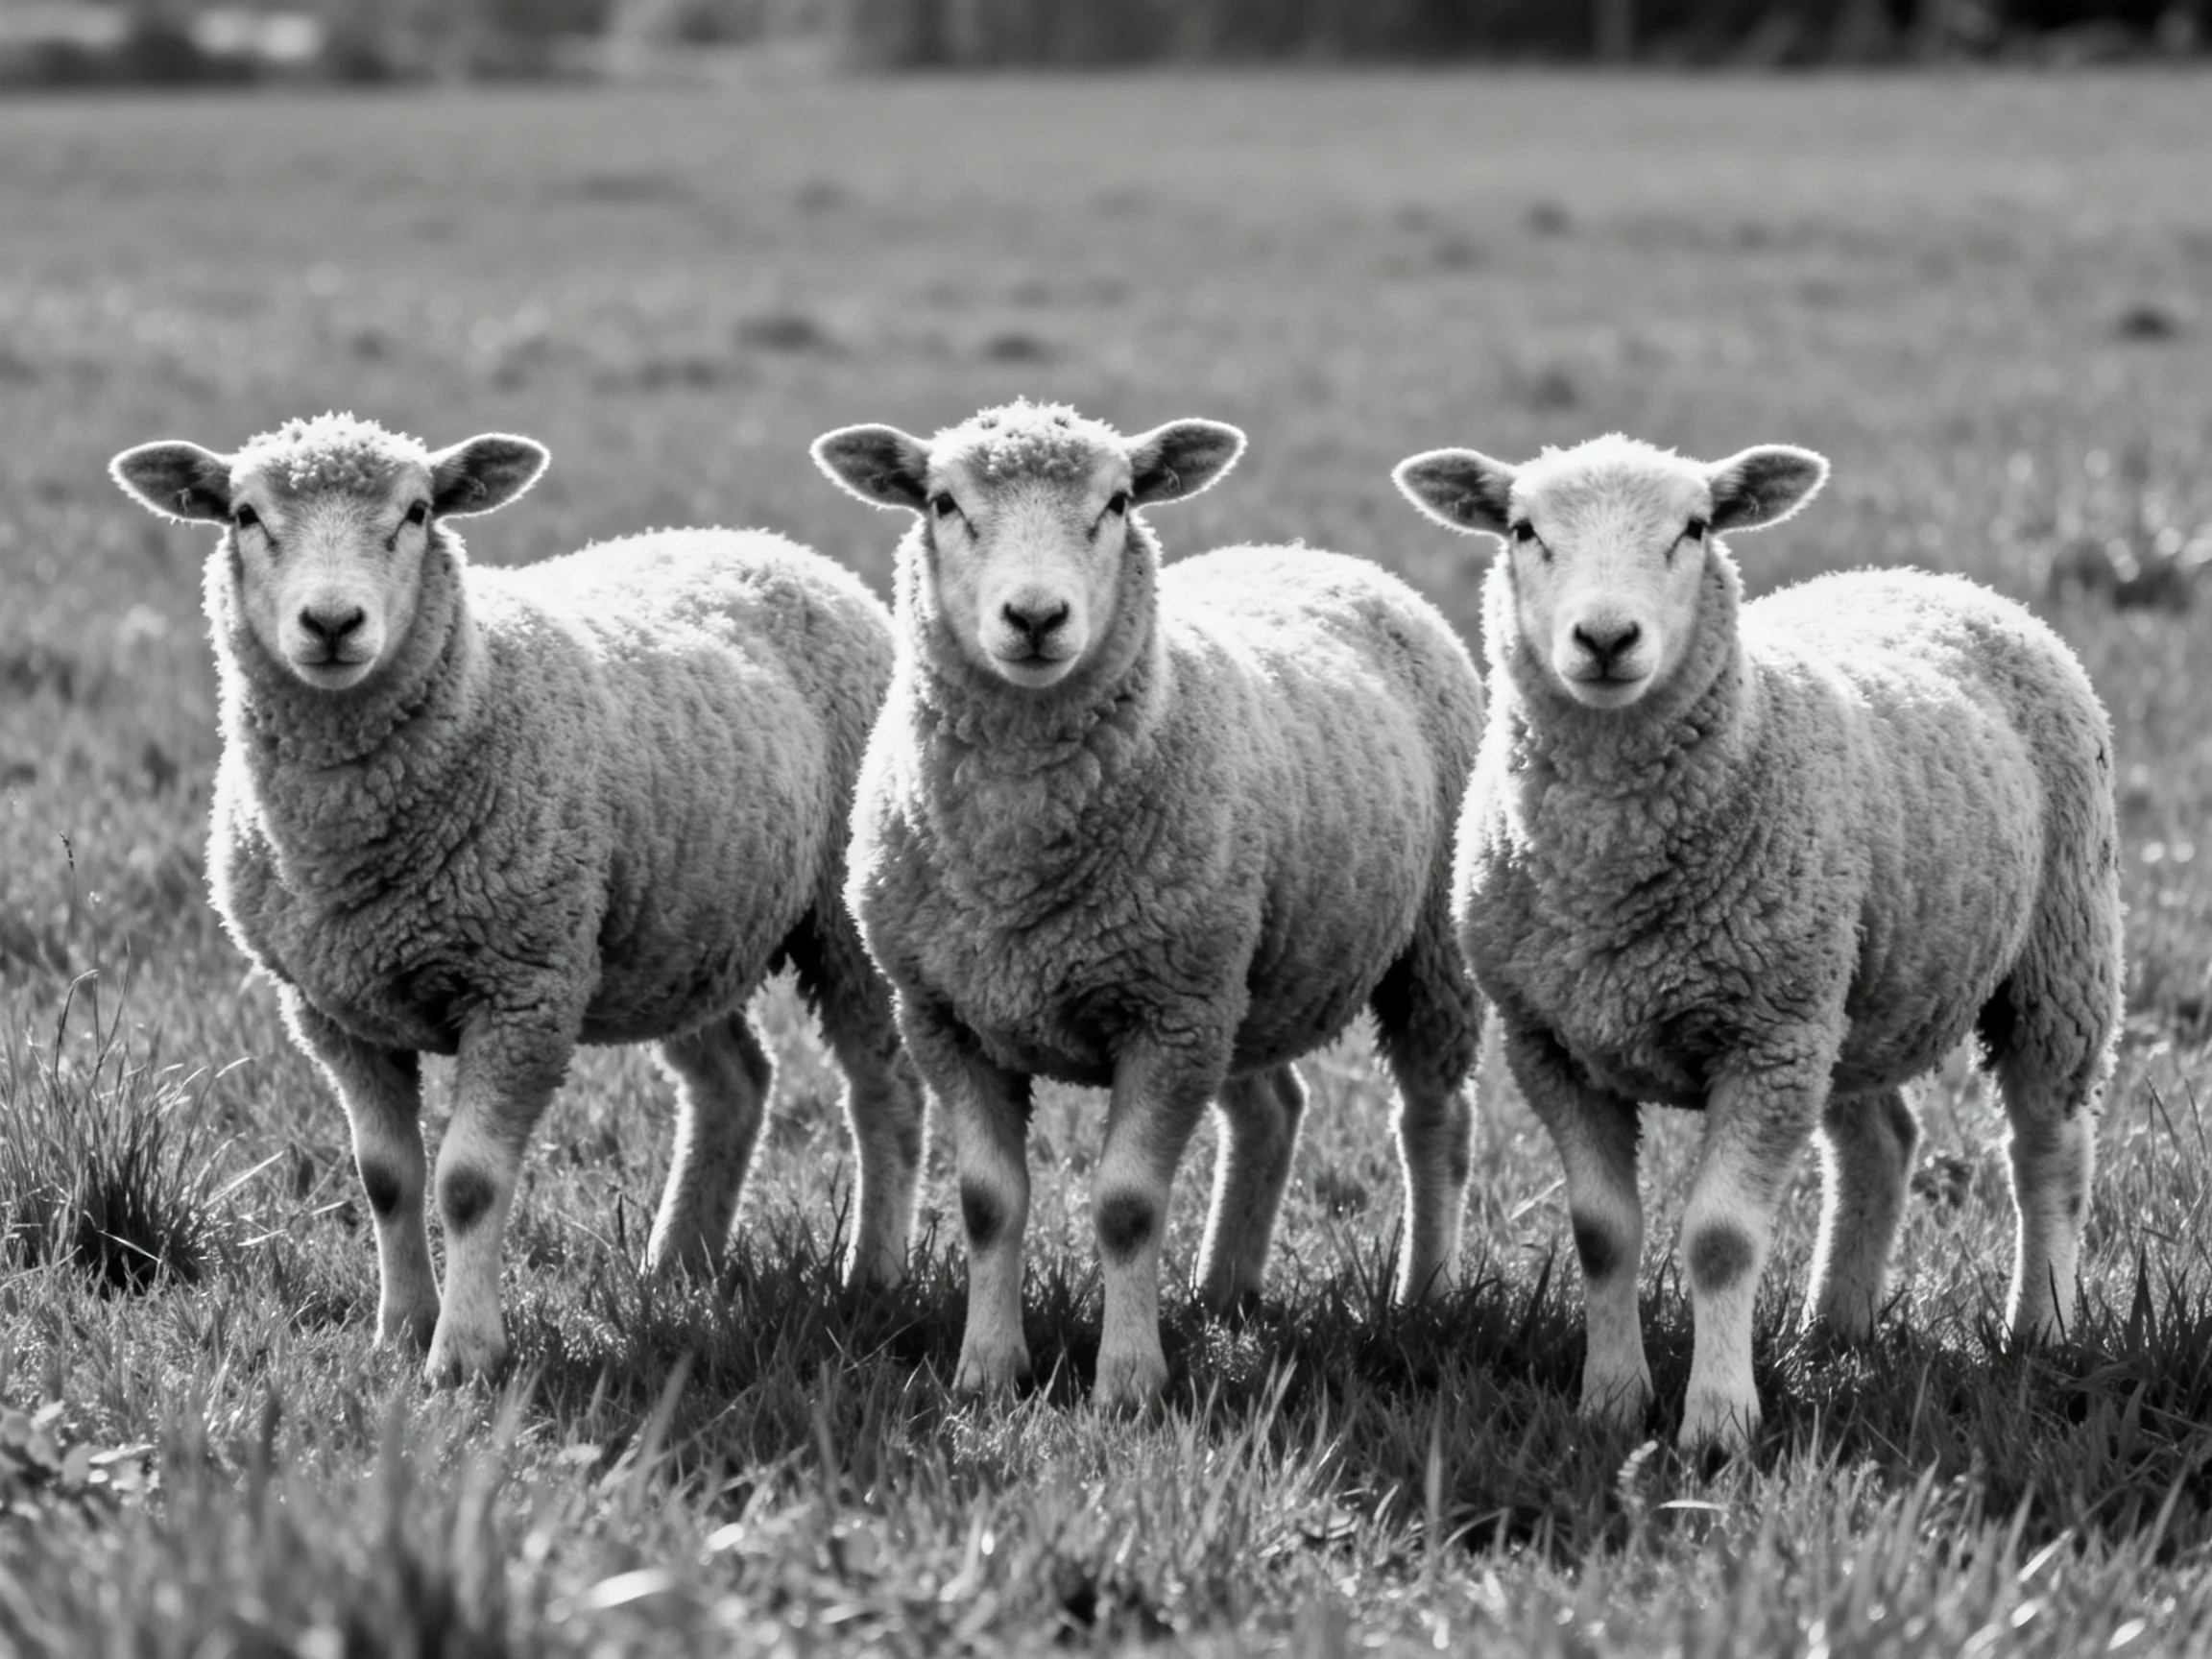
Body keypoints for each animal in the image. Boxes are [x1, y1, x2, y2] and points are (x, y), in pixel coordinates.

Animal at [108, 413, 924, 1383]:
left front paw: (463, 1358)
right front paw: (399, 1331)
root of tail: (771, 543)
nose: (333, 623)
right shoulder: (330, 1009)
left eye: (417, 512)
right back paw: (677, 1265)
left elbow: (466, 1183)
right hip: (675, 927)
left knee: (883, 1091)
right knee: (734, 1082)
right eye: (243, 515)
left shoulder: (523, 987)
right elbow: (386, 1177)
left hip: (840, 920)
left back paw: (872, 1277)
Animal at [811, 400, 1485, 1408]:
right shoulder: (946, 1015)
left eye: (1119, 502)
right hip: (1240, 973)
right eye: (942, 503)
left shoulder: (1166, 1014)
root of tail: (1308, 551)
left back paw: (1425, 1296)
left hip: (1420, 951)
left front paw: (1128, 1382)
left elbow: (1127, 1208)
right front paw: (987, 1371)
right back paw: (1223, 1289)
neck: (1016, 860)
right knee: (1273, 1110)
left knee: (1434, 1118)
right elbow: (986, 1204)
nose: (1036, 617)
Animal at [1393, 432, 2123, 1451]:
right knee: (1883, 1144)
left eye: (1696, 528)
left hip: (2056, 954)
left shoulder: (1764, 1040)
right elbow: (1601, 1234)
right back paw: (1836, 1328)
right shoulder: (1552, 1044)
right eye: (1522, 529)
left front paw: (1718, 1422)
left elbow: (1721, 1240)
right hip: (1849, 992)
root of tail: (1931, 578)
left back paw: (2041, 1332)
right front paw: (1611, 1402)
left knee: (2049, 1151)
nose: (1607, 640)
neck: (1609, 865)